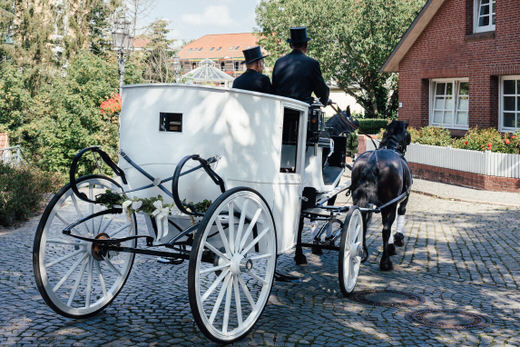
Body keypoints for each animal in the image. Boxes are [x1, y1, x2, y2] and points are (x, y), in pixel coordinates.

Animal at [352, 121, 412, 274]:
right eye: (408, 134)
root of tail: (373, 160)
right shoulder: (401, 199)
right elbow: (399, 214)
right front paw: (397, 240)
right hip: (389, 203)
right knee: (386, 229)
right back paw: (385, 262)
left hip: (359, 200)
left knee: (361, 221)